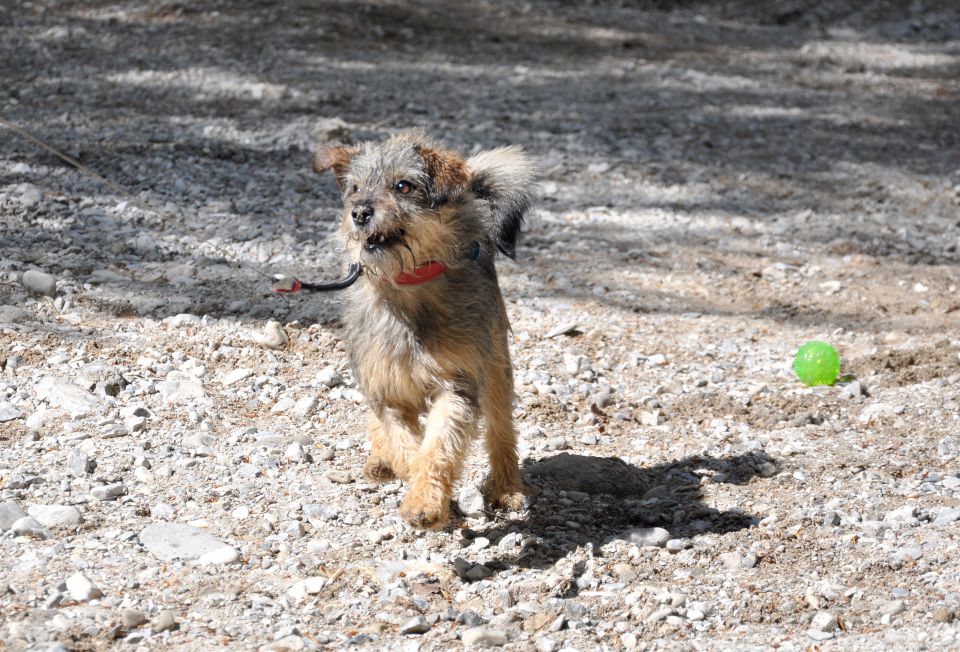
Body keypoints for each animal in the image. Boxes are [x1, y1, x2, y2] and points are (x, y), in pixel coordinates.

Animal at [316, 131, 536, 528]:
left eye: (403, 186)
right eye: (355, 188)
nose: (359, 212)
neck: (407, 286)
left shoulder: (456, 386)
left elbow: (436, 448)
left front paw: (425, 503)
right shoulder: (385, 391)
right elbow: (405, 447)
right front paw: (415, 482)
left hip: (496, 370)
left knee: (501, 432)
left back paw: (508, 487)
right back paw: (380, 459)